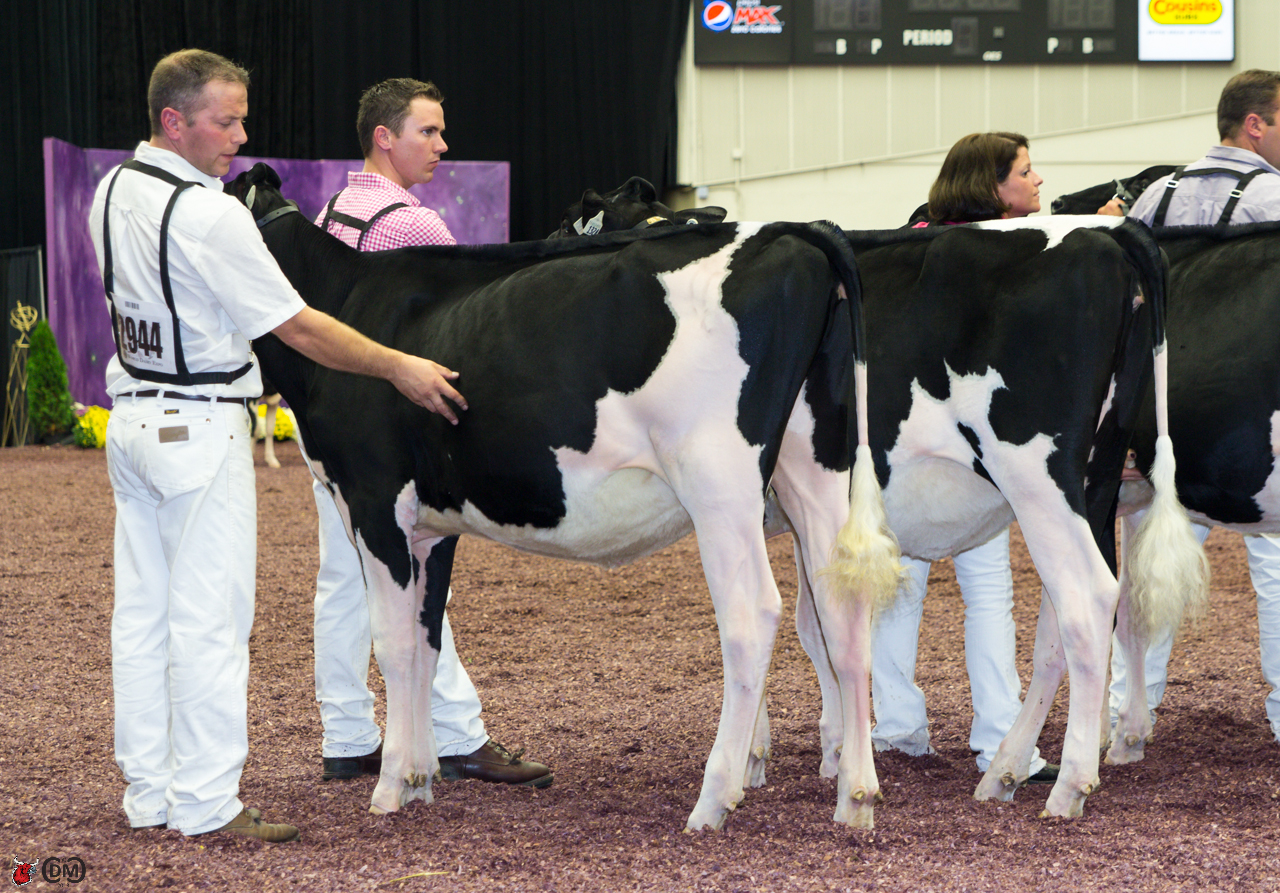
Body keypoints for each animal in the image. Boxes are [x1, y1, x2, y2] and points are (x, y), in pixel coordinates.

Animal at [229, 162, 900, 831]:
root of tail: (791, 232)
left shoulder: (375, 503)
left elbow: (393, 645)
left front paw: (392, 785)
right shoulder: (431, 524)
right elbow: (426, 641)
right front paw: (421, 777)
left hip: (719, 480)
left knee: (752, 616)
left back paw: (714, 799)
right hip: (814, 473)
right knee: (842, 611)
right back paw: (856, 796)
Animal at [548, 183, 1210, 817]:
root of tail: (1109, 233)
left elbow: (799, 624)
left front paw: (797, 756)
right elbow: (814, 622)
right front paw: (810, 752)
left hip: (1040, 476)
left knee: (1087, 600)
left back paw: (1067, 784)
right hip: (1096, 481)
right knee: (1076, 618)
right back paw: (1013, 767)